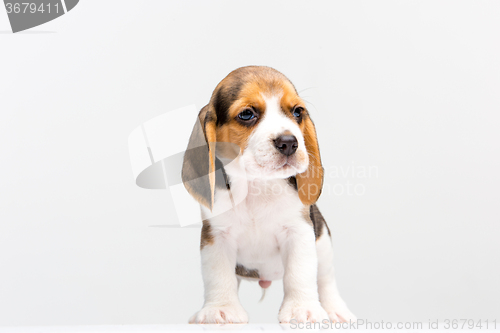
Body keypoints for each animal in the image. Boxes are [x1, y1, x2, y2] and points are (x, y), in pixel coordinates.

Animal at [182, 66, 354, 322]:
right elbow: (218, 275)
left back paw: (336, 310)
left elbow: (300, 273)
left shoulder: (299, 231)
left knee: (325, 280)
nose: (289, 142)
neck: (258, 185)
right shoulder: (216, 236)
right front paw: (220, 308)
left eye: (297, 112)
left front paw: (302, 308)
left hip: (323, 242)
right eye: (246, 114)